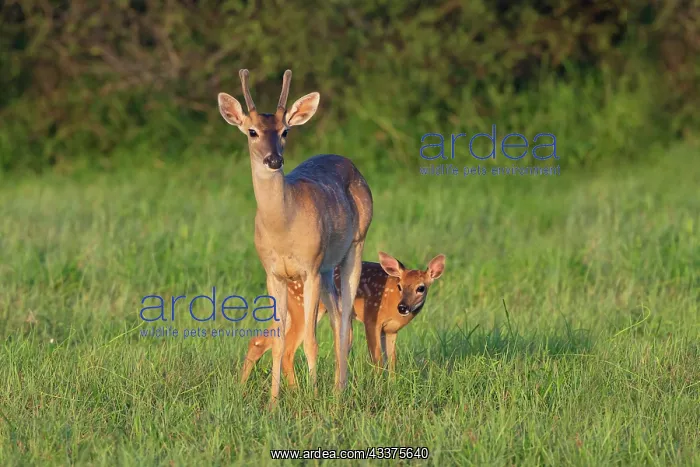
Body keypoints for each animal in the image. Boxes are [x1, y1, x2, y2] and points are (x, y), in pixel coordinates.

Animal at [217, 69, 373, 405]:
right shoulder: (273, 273)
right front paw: (274, 402)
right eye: (252, 131)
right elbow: (277, 341)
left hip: (355, 245)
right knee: (338, 317)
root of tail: (349, 162)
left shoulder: (309, 268)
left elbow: (311, 341)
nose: (274, 160)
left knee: (344, 321)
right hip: (327, 268)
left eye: (285, 131)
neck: (283, 229)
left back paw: (339, 391)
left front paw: (312, 398)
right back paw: (337, 387)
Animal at [239, 252, 446, 385]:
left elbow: (392, 360)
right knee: (288, 349)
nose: (403, 307)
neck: (392, 302)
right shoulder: (372, 319)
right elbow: (377, 358)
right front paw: (380, 387)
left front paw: (393, 385)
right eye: (400, 285)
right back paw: (294, 390)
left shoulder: (391, 330)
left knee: (259, 340)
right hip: (303, 309)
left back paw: (241, 387)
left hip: (291, 311)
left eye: (421, 288)